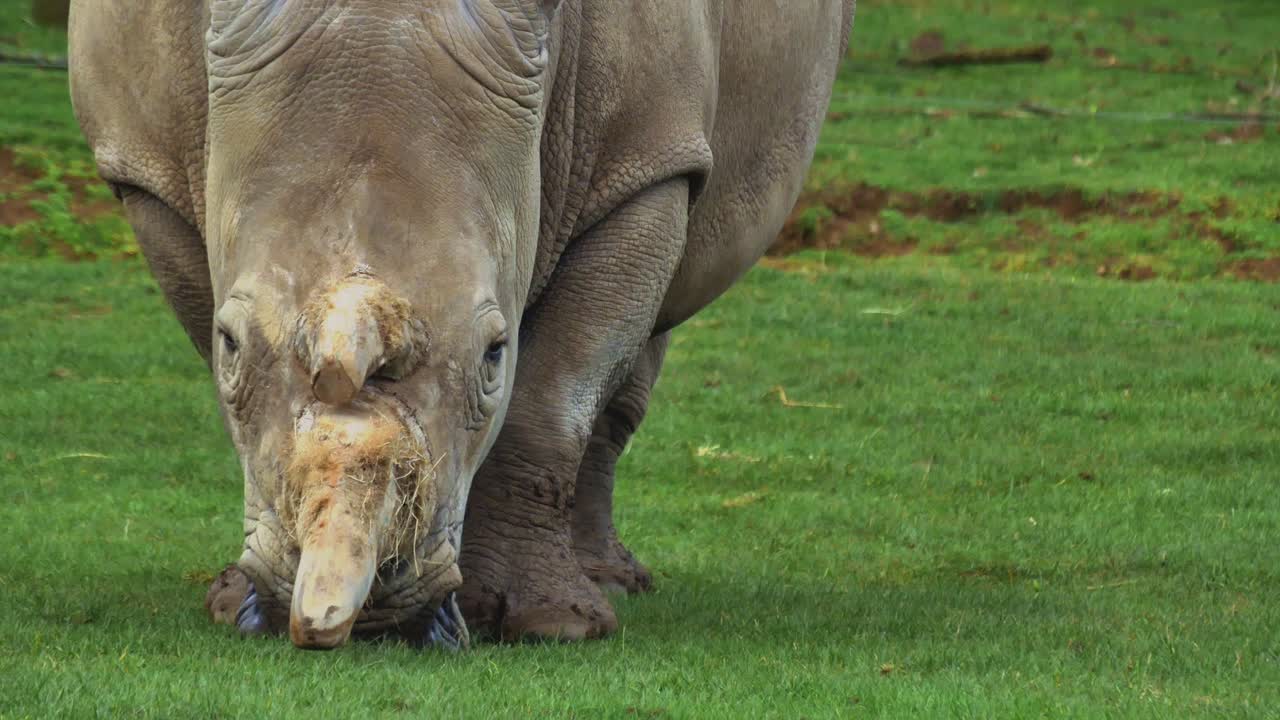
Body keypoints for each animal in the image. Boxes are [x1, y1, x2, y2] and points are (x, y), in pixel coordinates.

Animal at [68, 0, 854, 649]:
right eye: (232, 346)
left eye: (494, 355)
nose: (369, 615)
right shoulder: (145, 170)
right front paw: (234, 606)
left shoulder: (648, 162)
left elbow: (555, 394)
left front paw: (552, 627)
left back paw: (607, 586)